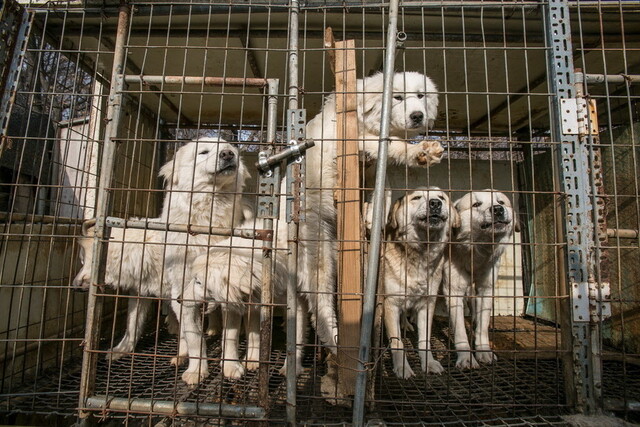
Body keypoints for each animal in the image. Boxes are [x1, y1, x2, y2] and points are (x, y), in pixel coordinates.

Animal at [382, 189, 458, 380]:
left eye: (442, 197)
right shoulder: (390, 304)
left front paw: (429, 363)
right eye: (416, 197)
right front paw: (402, 368)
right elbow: (398, 343)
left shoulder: (426, 304)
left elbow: (424, 340)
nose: (435, 203)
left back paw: (407, 324)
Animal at [444, 190, 520, 368]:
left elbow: (482, 325)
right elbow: (459, 331)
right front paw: (466, 358)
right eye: (476, 204)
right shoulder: (453, 292)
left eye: (501, 202)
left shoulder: (485, 290)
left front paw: (484, 351)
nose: (498, 209)